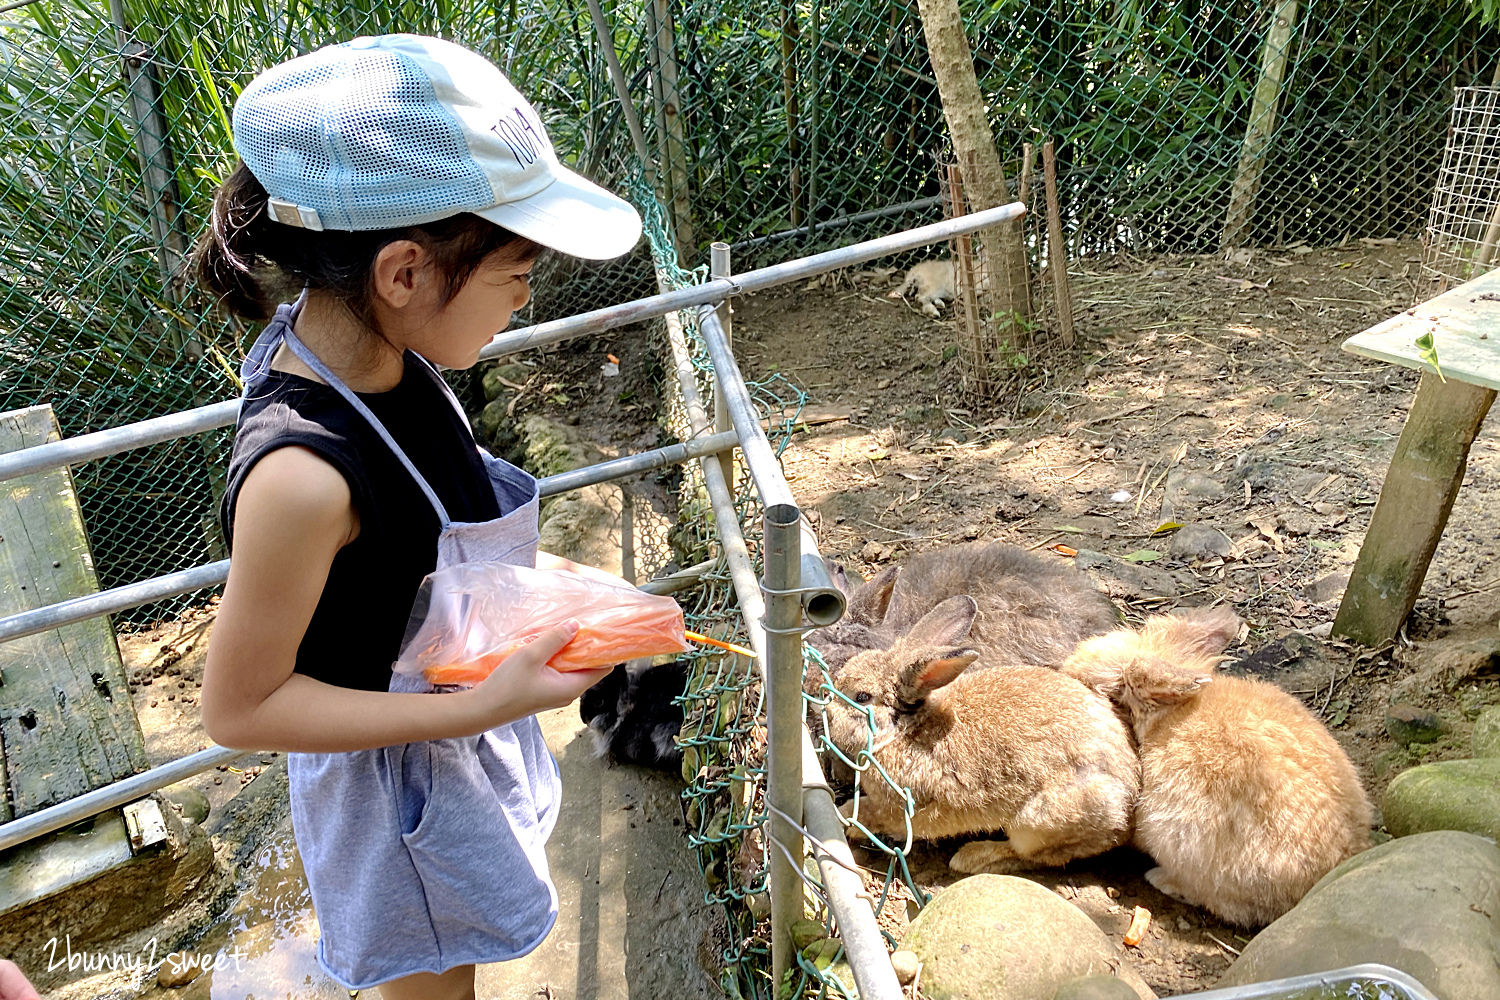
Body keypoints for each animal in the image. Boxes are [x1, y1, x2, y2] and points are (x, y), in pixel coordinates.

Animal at [822, 593, 1134, 869]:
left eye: (862, 697)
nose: (825, 706)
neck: (906, 730)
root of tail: (1129, 804)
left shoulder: (901, 808)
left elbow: (877, 816)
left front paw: (848, 820)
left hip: (1037, 824)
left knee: (1034, 856)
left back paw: (972, 857)